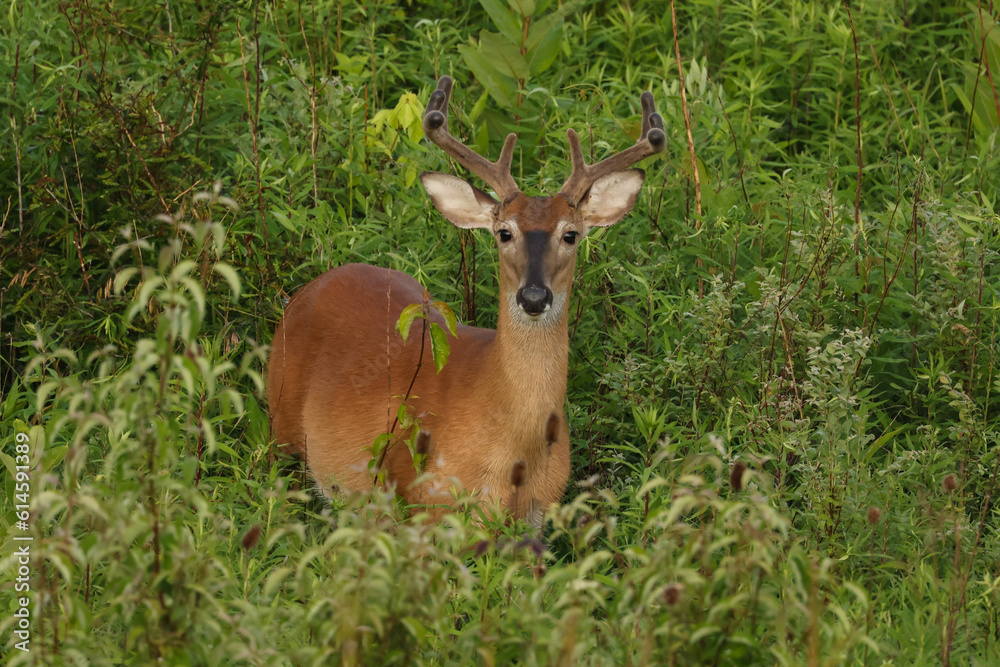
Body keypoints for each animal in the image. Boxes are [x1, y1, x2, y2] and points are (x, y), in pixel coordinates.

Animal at [270, 77, 668, 528]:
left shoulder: (539, 513)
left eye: (571, 234)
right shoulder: (429, 501)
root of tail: (306, 291)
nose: (534, 297)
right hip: (282, 429)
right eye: (503, 232)